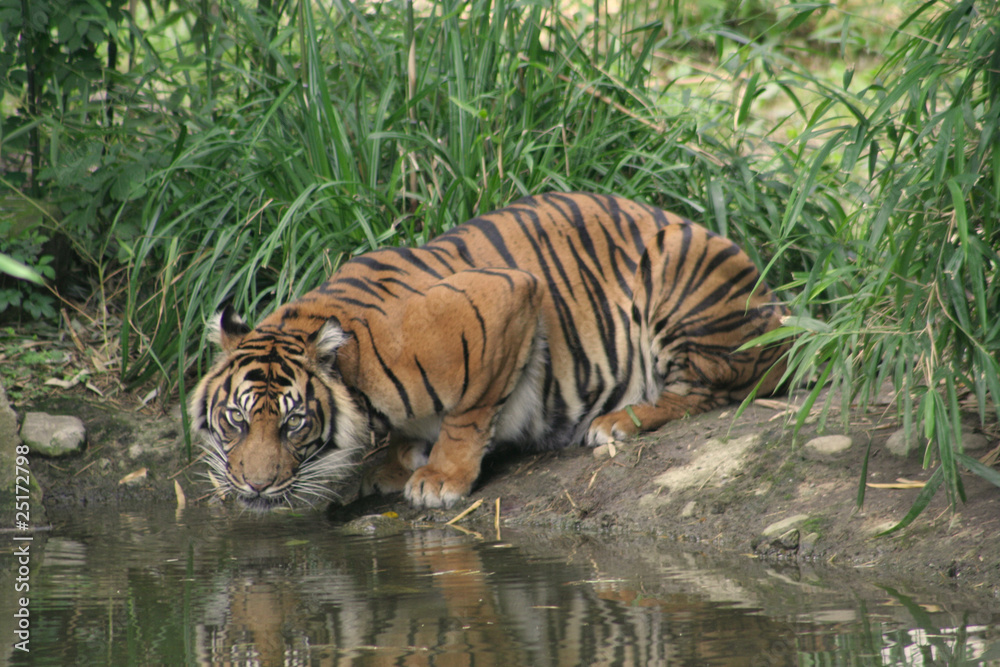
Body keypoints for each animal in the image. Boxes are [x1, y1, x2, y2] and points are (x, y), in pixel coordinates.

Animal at [189, 192, 789, 510]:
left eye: (293, 424)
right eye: (236, 421)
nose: (255, 484)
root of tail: (774, 302)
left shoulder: (502, 300)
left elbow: (469, 413)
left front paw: (440, 478)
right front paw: (393, 462)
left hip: (677, 277)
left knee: (712, 387)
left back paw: (619, 421)